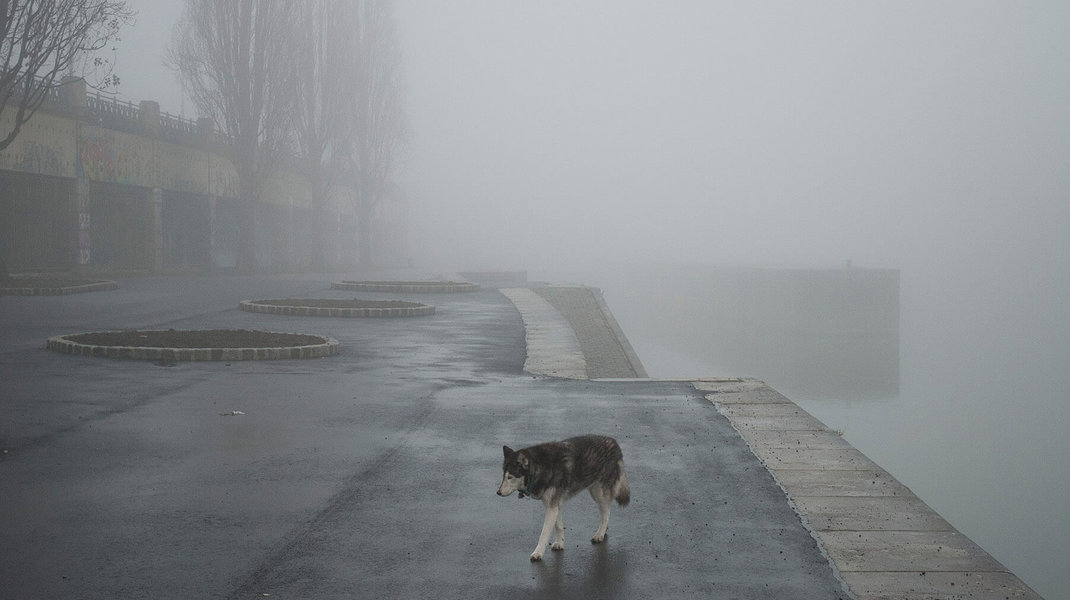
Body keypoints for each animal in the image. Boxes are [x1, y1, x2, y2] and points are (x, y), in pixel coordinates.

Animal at [496, 432, 629, 560]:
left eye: (510, 477)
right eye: (503, 476)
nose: (498, 493)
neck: (540, 468)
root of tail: (615, 443)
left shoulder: (552, 506)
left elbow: (543, 534)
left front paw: (538, 553)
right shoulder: (554, 505)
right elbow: (559, 526)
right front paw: (560, 543)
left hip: (599, 493)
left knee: (606, 512)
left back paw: (600, 534)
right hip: (594, 492)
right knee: (605, 511)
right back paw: (603, 529)